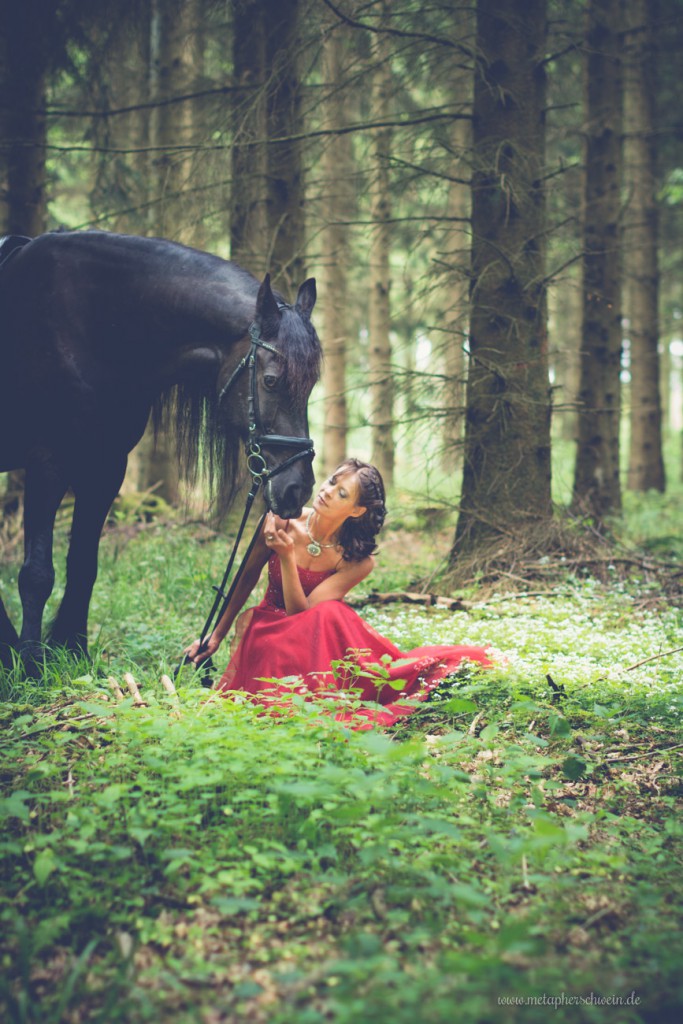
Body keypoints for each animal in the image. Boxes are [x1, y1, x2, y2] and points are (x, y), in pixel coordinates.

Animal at [0, 228, 321, 667]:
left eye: (311, 383)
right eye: (271, 381)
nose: (298, 488)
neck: (88, 322)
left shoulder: (105, 465)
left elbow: (83, 565)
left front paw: (74, 652)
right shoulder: (47, 461)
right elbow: (36, 574)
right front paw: (32, 668)